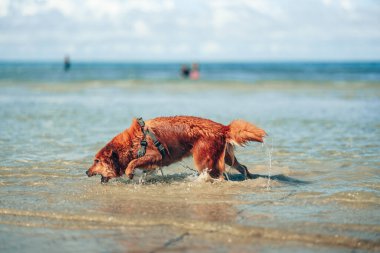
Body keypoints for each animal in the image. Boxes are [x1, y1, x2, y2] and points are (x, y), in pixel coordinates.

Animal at [86, 115, 266, 183]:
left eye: (97, 161)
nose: (86, 172)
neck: (133, 141)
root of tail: (223, 128)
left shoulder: (156, 154)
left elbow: (133, 162)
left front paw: (130, 172)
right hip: (225, 156)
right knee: (242, 167)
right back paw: (249, 177)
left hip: (203, 159)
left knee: (217, 175)